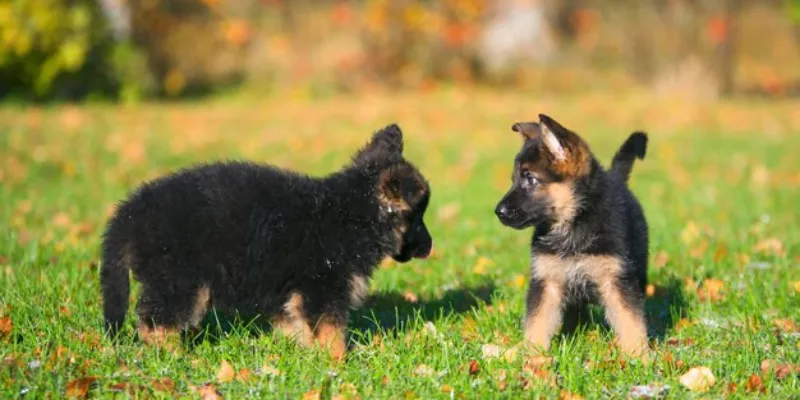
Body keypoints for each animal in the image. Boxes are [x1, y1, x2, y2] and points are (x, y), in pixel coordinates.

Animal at [104, 122, 438, 360]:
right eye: (418, 218)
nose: (431, 246)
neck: (353, 215)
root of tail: (129, 213)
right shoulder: (322, 287)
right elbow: (330, 330)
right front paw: (339, 362)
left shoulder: (286, 289)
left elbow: (295, 323)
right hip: (181, 280)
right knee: (155, 321)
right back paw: (175, 355)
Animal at [494, 114, 648, 358]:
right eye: (514, 179)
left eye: (530, 179)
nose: (498, 211)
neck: (572, 226)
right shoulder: (547, 281)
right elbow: (537, 322)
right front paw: (532, 357)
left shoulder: (615, 279)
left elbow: (630, 320)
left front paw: (639, 357)